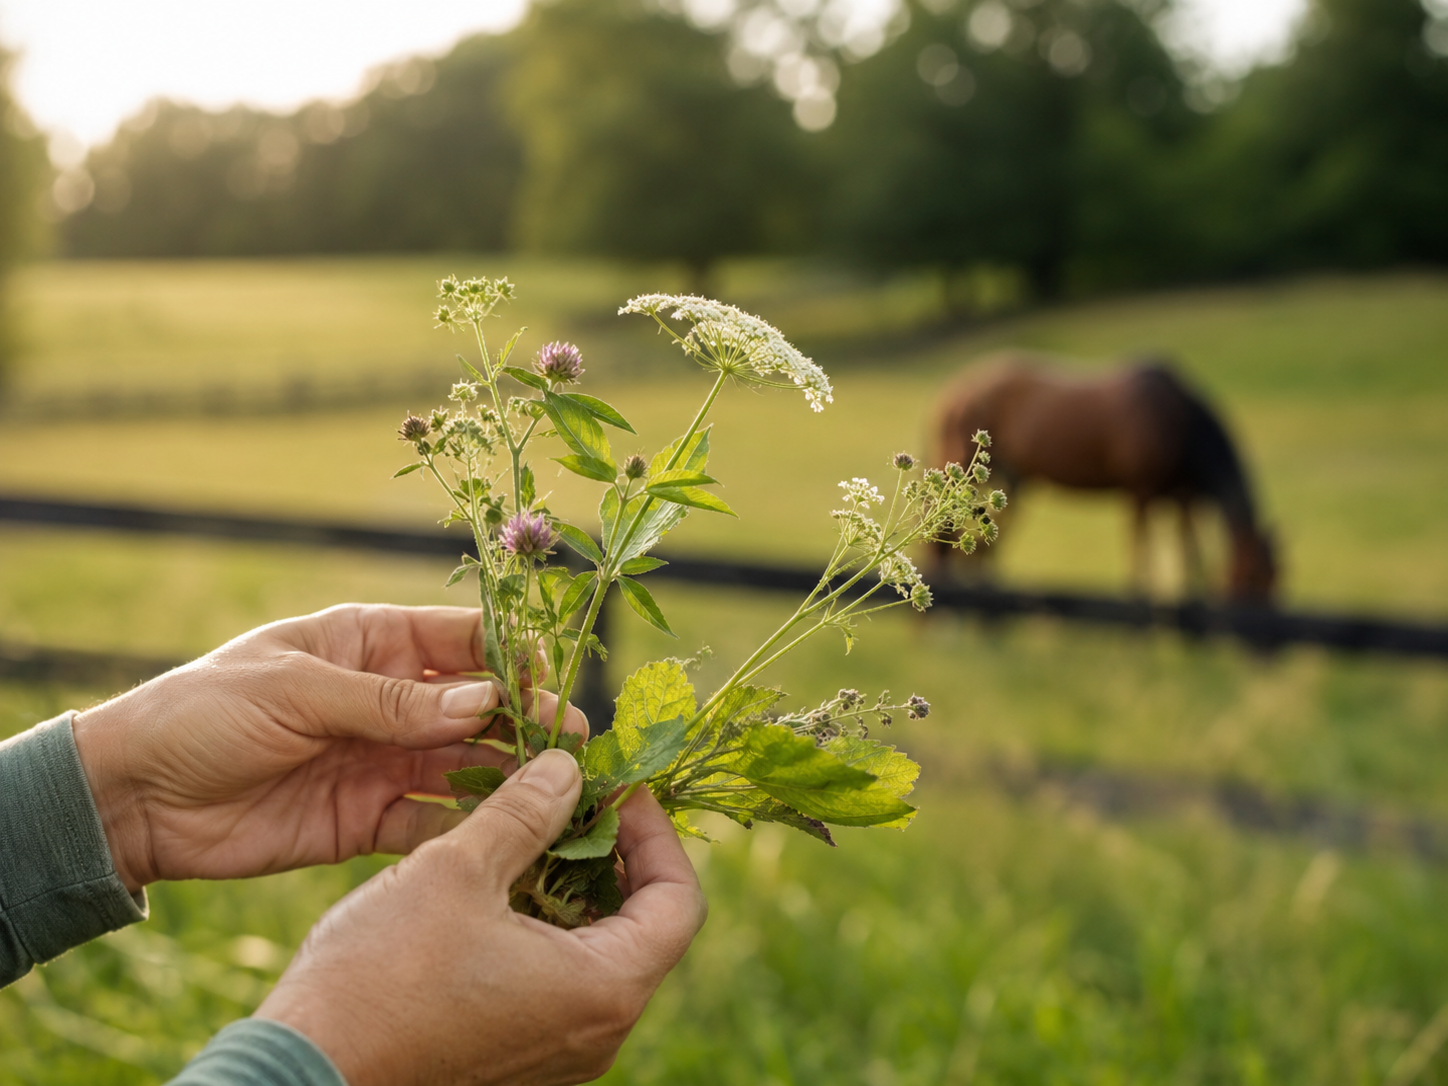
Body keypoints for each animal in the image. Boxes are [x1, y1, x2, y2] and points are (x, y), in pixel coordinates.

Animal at [930, 352, 1277, 604]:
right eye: (1255, 577)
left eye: (1275, 576)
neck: (1177, 422)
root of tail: (953, 394)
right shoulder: (1141, 493)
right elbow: (1141, 547)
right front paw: (1138, 594)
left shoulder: (1181, 497)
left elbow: (1189, 550)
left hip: (1010, 483)